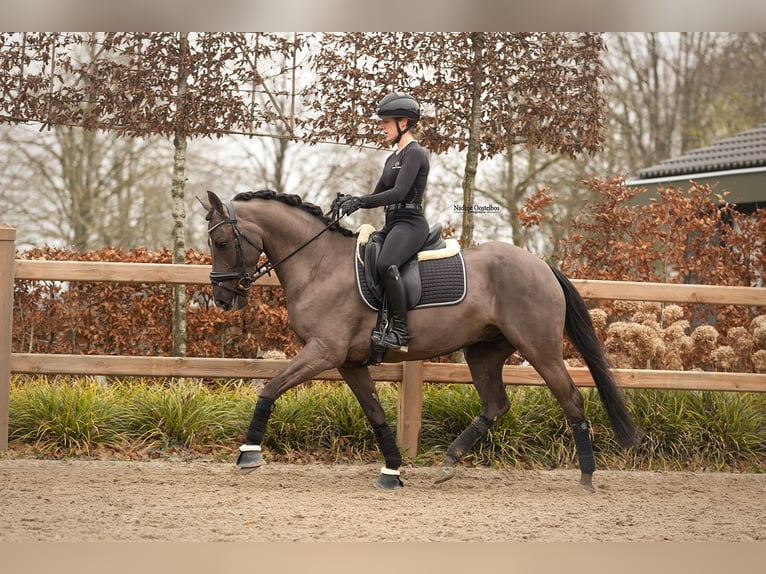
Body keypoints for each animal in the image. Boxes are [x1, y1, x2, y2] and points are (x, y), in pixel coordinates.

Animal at [201, 189, 644, 492]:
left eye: (221, 243)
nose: (222, 298)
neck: (319, 265)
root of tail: (542, 265)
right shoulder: (349, 362)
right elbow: (376, 414)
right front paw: (392, 470)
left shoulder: (323, 352)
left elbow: (270, 387)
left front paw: (249, 453)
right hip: (484, 352)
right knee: (496, 404)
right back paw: (448, 463)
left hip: (540, 348)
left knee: (571, 399)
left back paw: (586, 476)